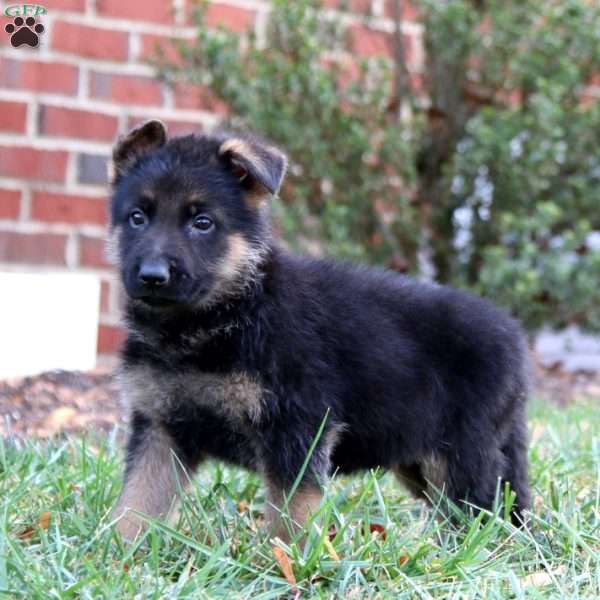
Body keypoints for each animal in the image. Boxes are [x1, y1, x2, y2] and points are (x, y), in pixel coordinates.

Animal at [109, 120, 528, 540]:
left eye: (202, 223)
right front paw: (122, 549)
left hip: (461, 456)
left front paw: (285, 555)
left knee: (482, 515)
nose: (152, 276)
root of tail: (513, 335)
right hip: (419, 461)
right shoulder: (160, 428)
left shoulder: (297, 426)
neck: (223, 314)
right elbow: (138, 499)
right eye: (137, 217)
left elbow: (292, 509)